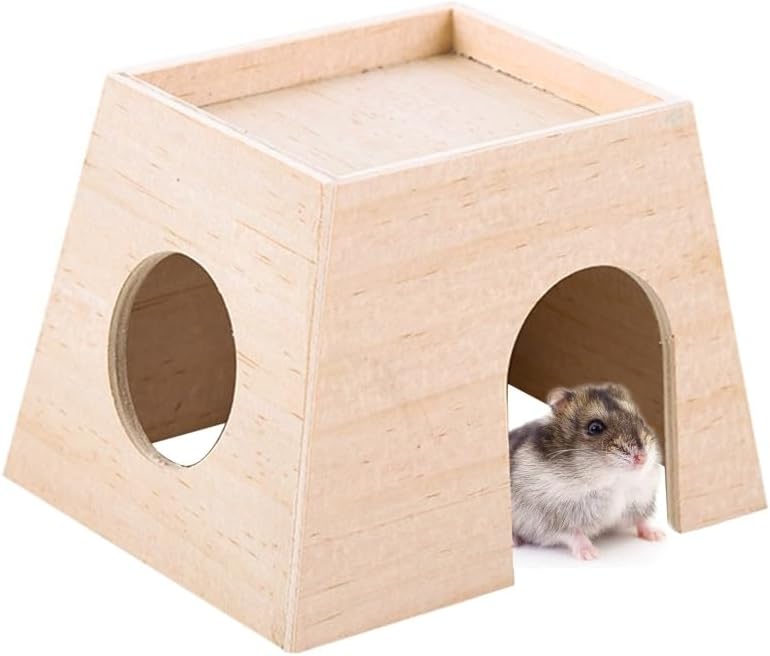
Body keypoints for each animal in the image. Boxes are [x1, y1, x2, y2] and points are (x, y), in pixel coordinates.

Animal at [508, 382, 665, 560]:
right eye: (595, 427)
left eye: (639, 419)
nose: (642, 457)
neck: (613, 481)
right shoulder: (553, 518)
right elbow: (573, 533)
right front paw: (591, 554)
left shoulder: (639, 501)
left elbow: (641, 520)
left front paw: (658, 536)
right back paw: (514, 541)